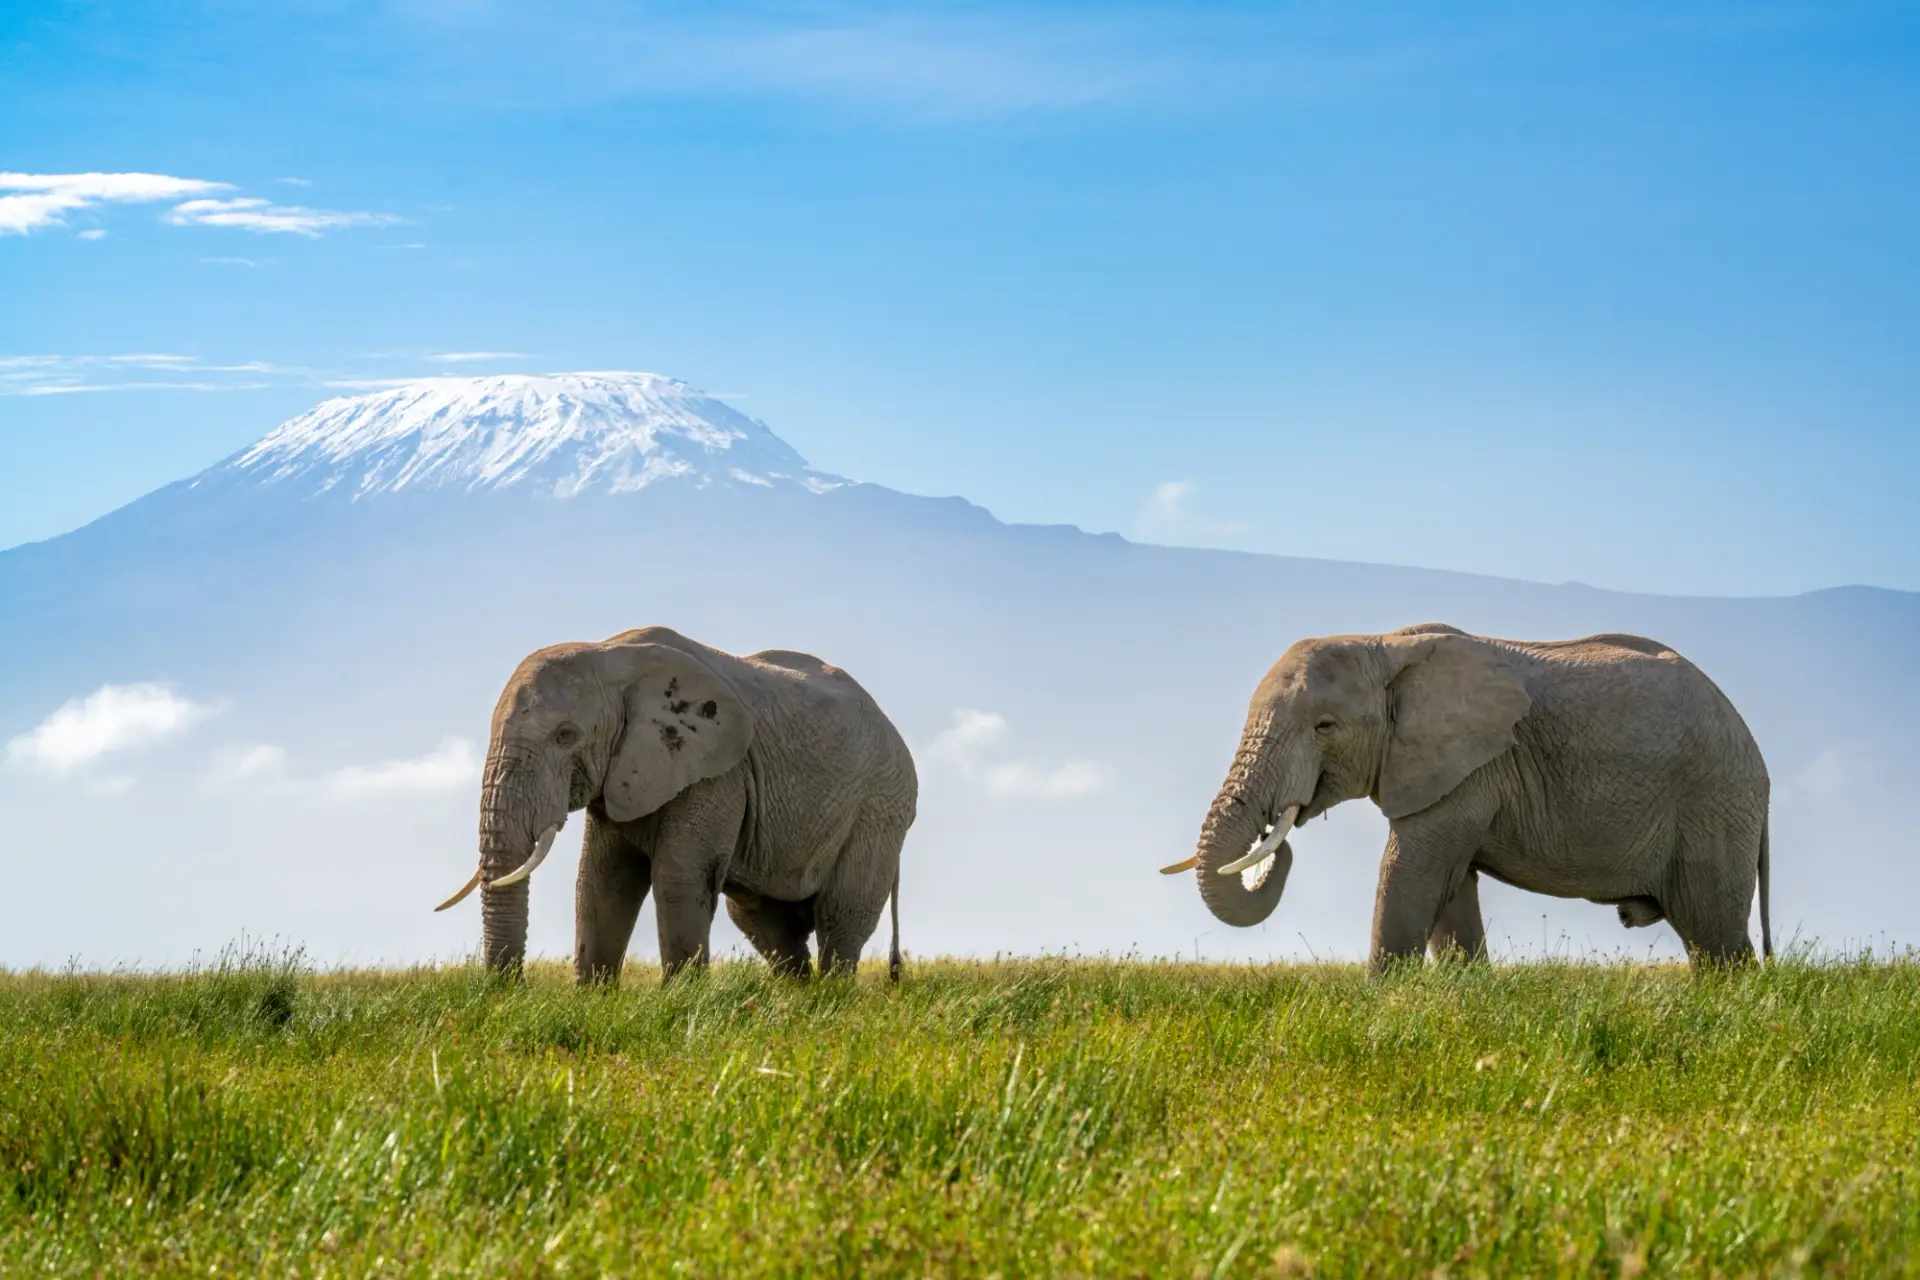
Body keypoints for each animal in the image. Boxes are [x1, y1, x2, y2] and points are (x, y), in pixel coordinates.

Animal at [435, 626, 917, 984]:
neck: (611, 654)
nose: (509, 992)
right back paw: (796, 1003)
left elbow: (678, 877)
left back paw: (831, 1001)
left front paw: (682, 1002)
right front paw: (592, 1001)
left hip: (880, 806)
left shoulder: (718, 771)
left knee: (841, 911)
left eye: (565, 735)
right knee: (763, 920)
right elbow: (600, 882)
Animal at [1162, 623, 1773, 972]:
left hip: (1714, 802)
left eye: (1324, 726)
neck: (1386, 644)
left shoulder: (1471, 768)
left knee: (1715, 934)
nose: (1278, 837)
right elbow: (1449, 890)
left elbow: (1410, 873)